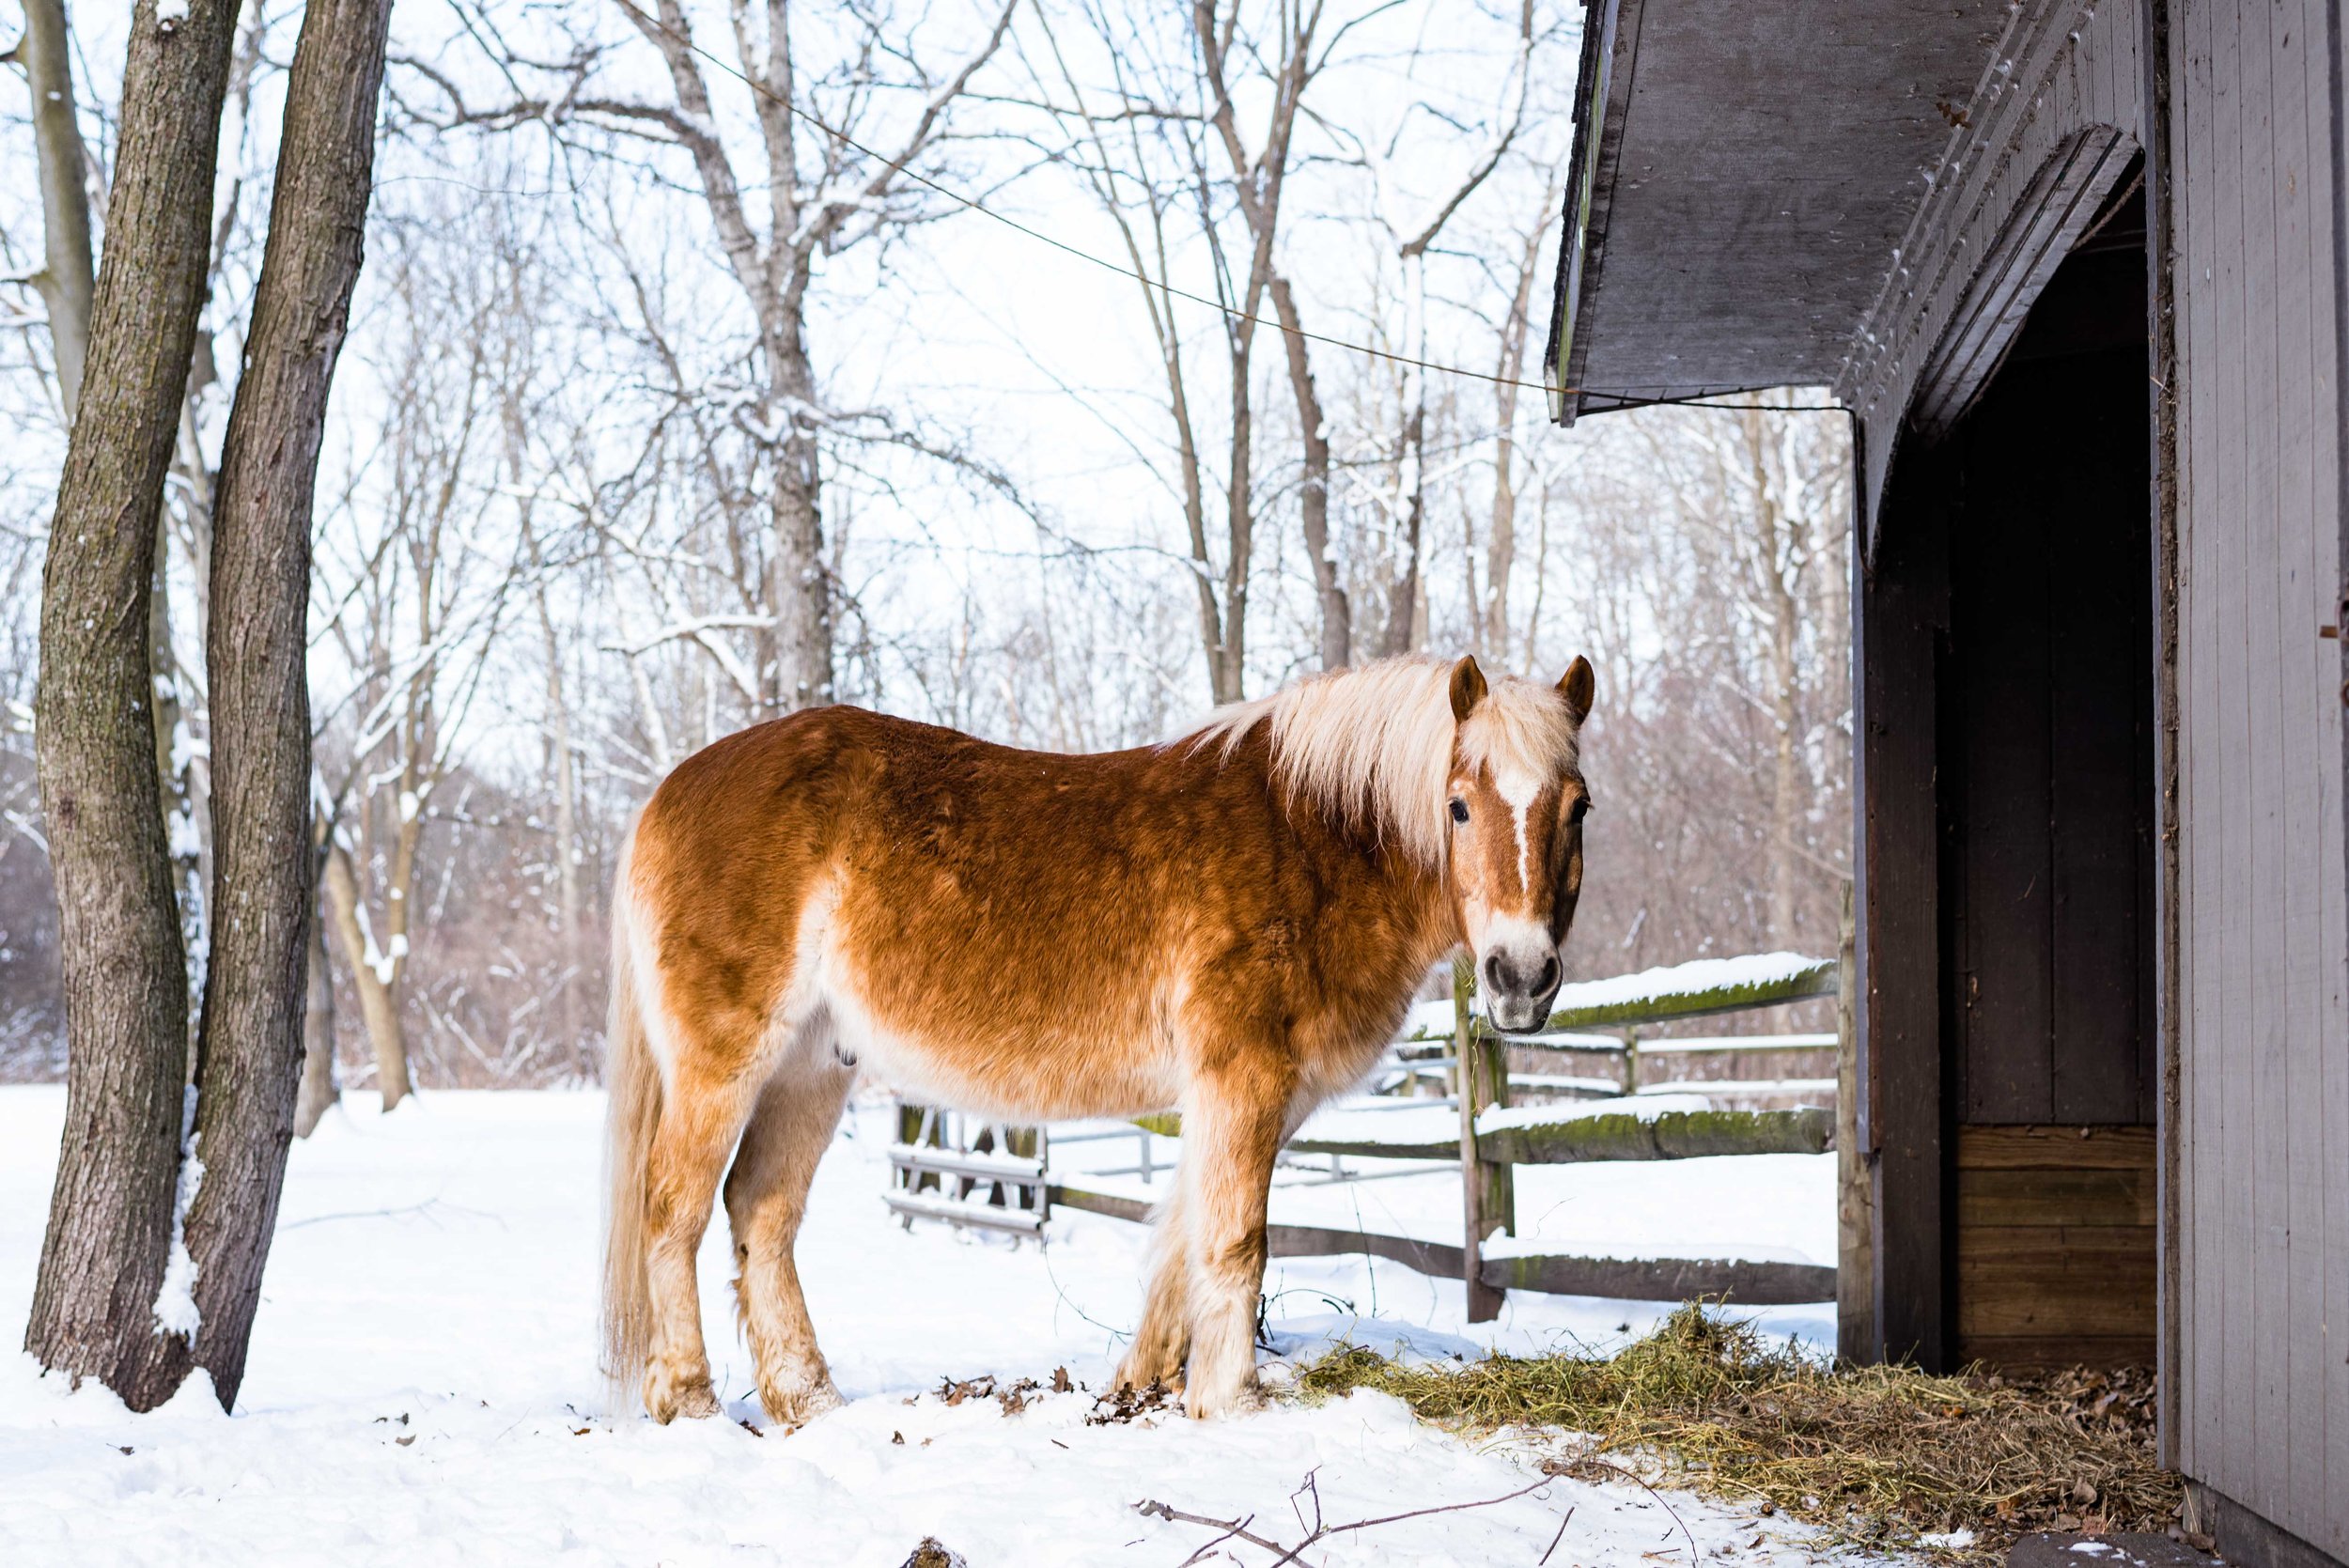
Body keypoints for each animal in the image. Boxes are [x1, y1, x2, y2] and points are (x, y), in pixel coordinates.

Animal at [601, 647, 1597, 1418]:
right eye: (1459, 805)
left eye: (1578, 807)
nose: (1519, 976)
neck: (1314, 837)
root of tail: (666, 794)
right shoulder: (1243, 1073)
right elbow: (1236, 1242)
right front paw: (1230, 1405)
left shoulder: (1237, 1090)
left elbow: (1183, 1241)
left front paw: (1146, 1386)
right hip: (726, 1062)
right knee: (675, 1209)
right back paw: (689, 1397)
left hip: (814, 1066)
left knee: (761, 1214)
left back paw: (811, 1403)